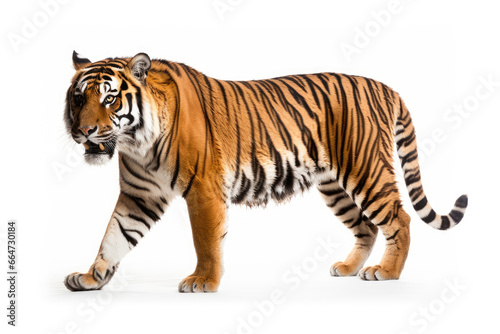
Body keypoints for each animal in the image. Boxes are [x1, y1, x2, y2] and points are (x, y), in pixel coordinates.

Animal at [63, 50, 468, 292]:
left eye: (110, 98)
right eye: (79, 98)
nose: (84, 130)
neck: (137, 141)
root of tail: (386, 87)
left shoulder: (204, 189)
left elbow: (205, 240)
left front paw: (203, 281)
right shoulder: (139, 195)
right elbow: (114, 236)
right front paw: (91, 277)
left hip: (366, 170)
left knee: (400, 218)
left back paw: (387, 272)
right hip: (335, 186)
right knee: (366, 227)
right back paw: (348, 269)